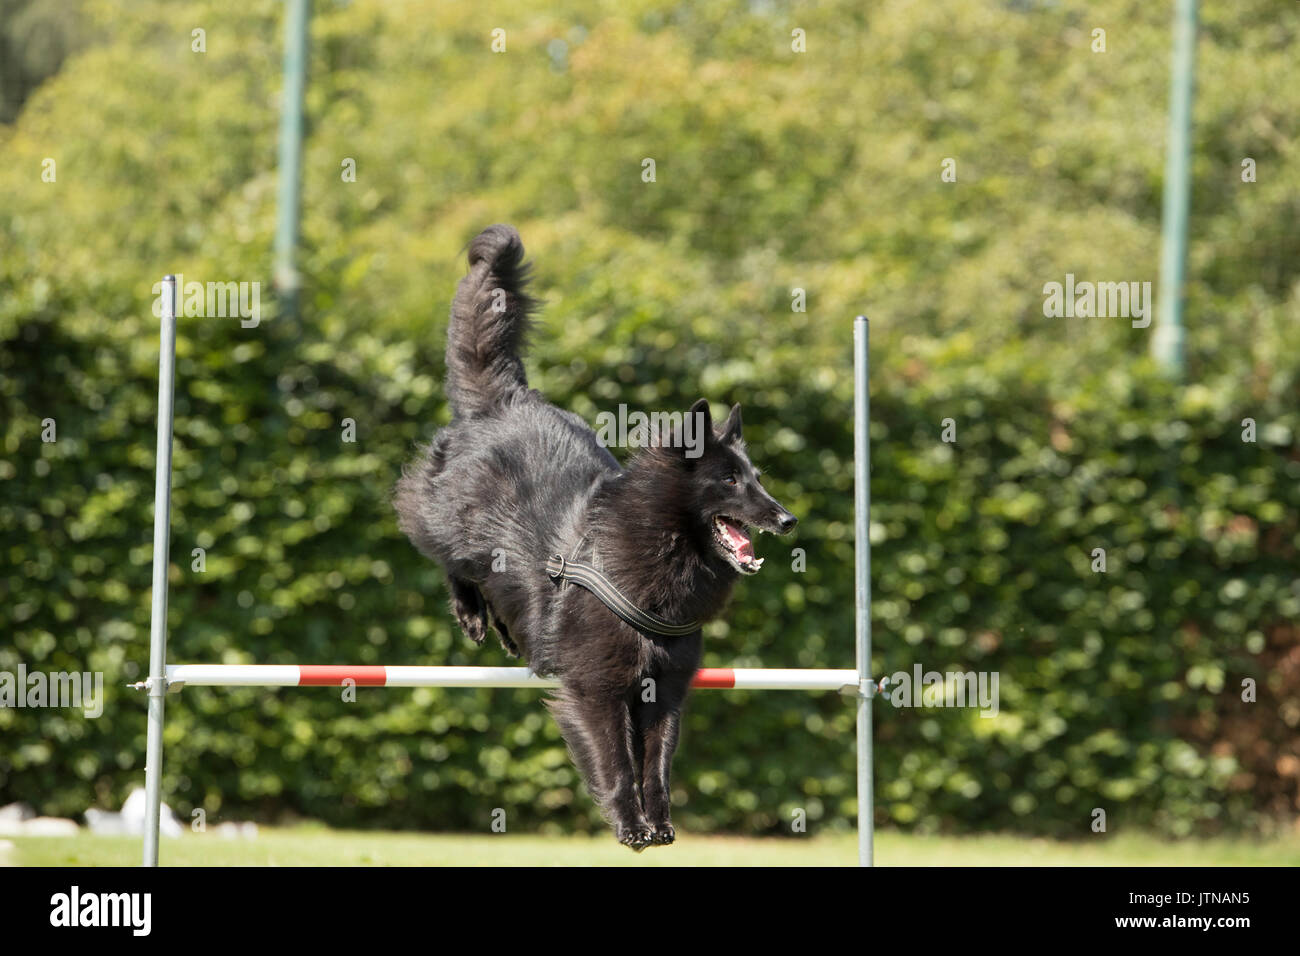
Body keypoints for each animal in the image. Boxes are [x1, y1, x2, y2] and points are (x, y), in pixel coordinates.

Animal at [390, 226, 795, 853]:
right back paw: (472, 614)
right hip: (452, 523)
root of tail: (505, 399)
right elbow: (618, 764)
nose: (787, 519)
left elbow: (657, 764)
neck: (656, 554)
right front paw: (630, 827)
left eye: (757, 478)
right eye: (730, 480)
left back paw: (511, 634)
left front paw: (660, 825)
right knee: (441, 547)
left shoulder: (665, 690)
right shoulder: (596, 690)